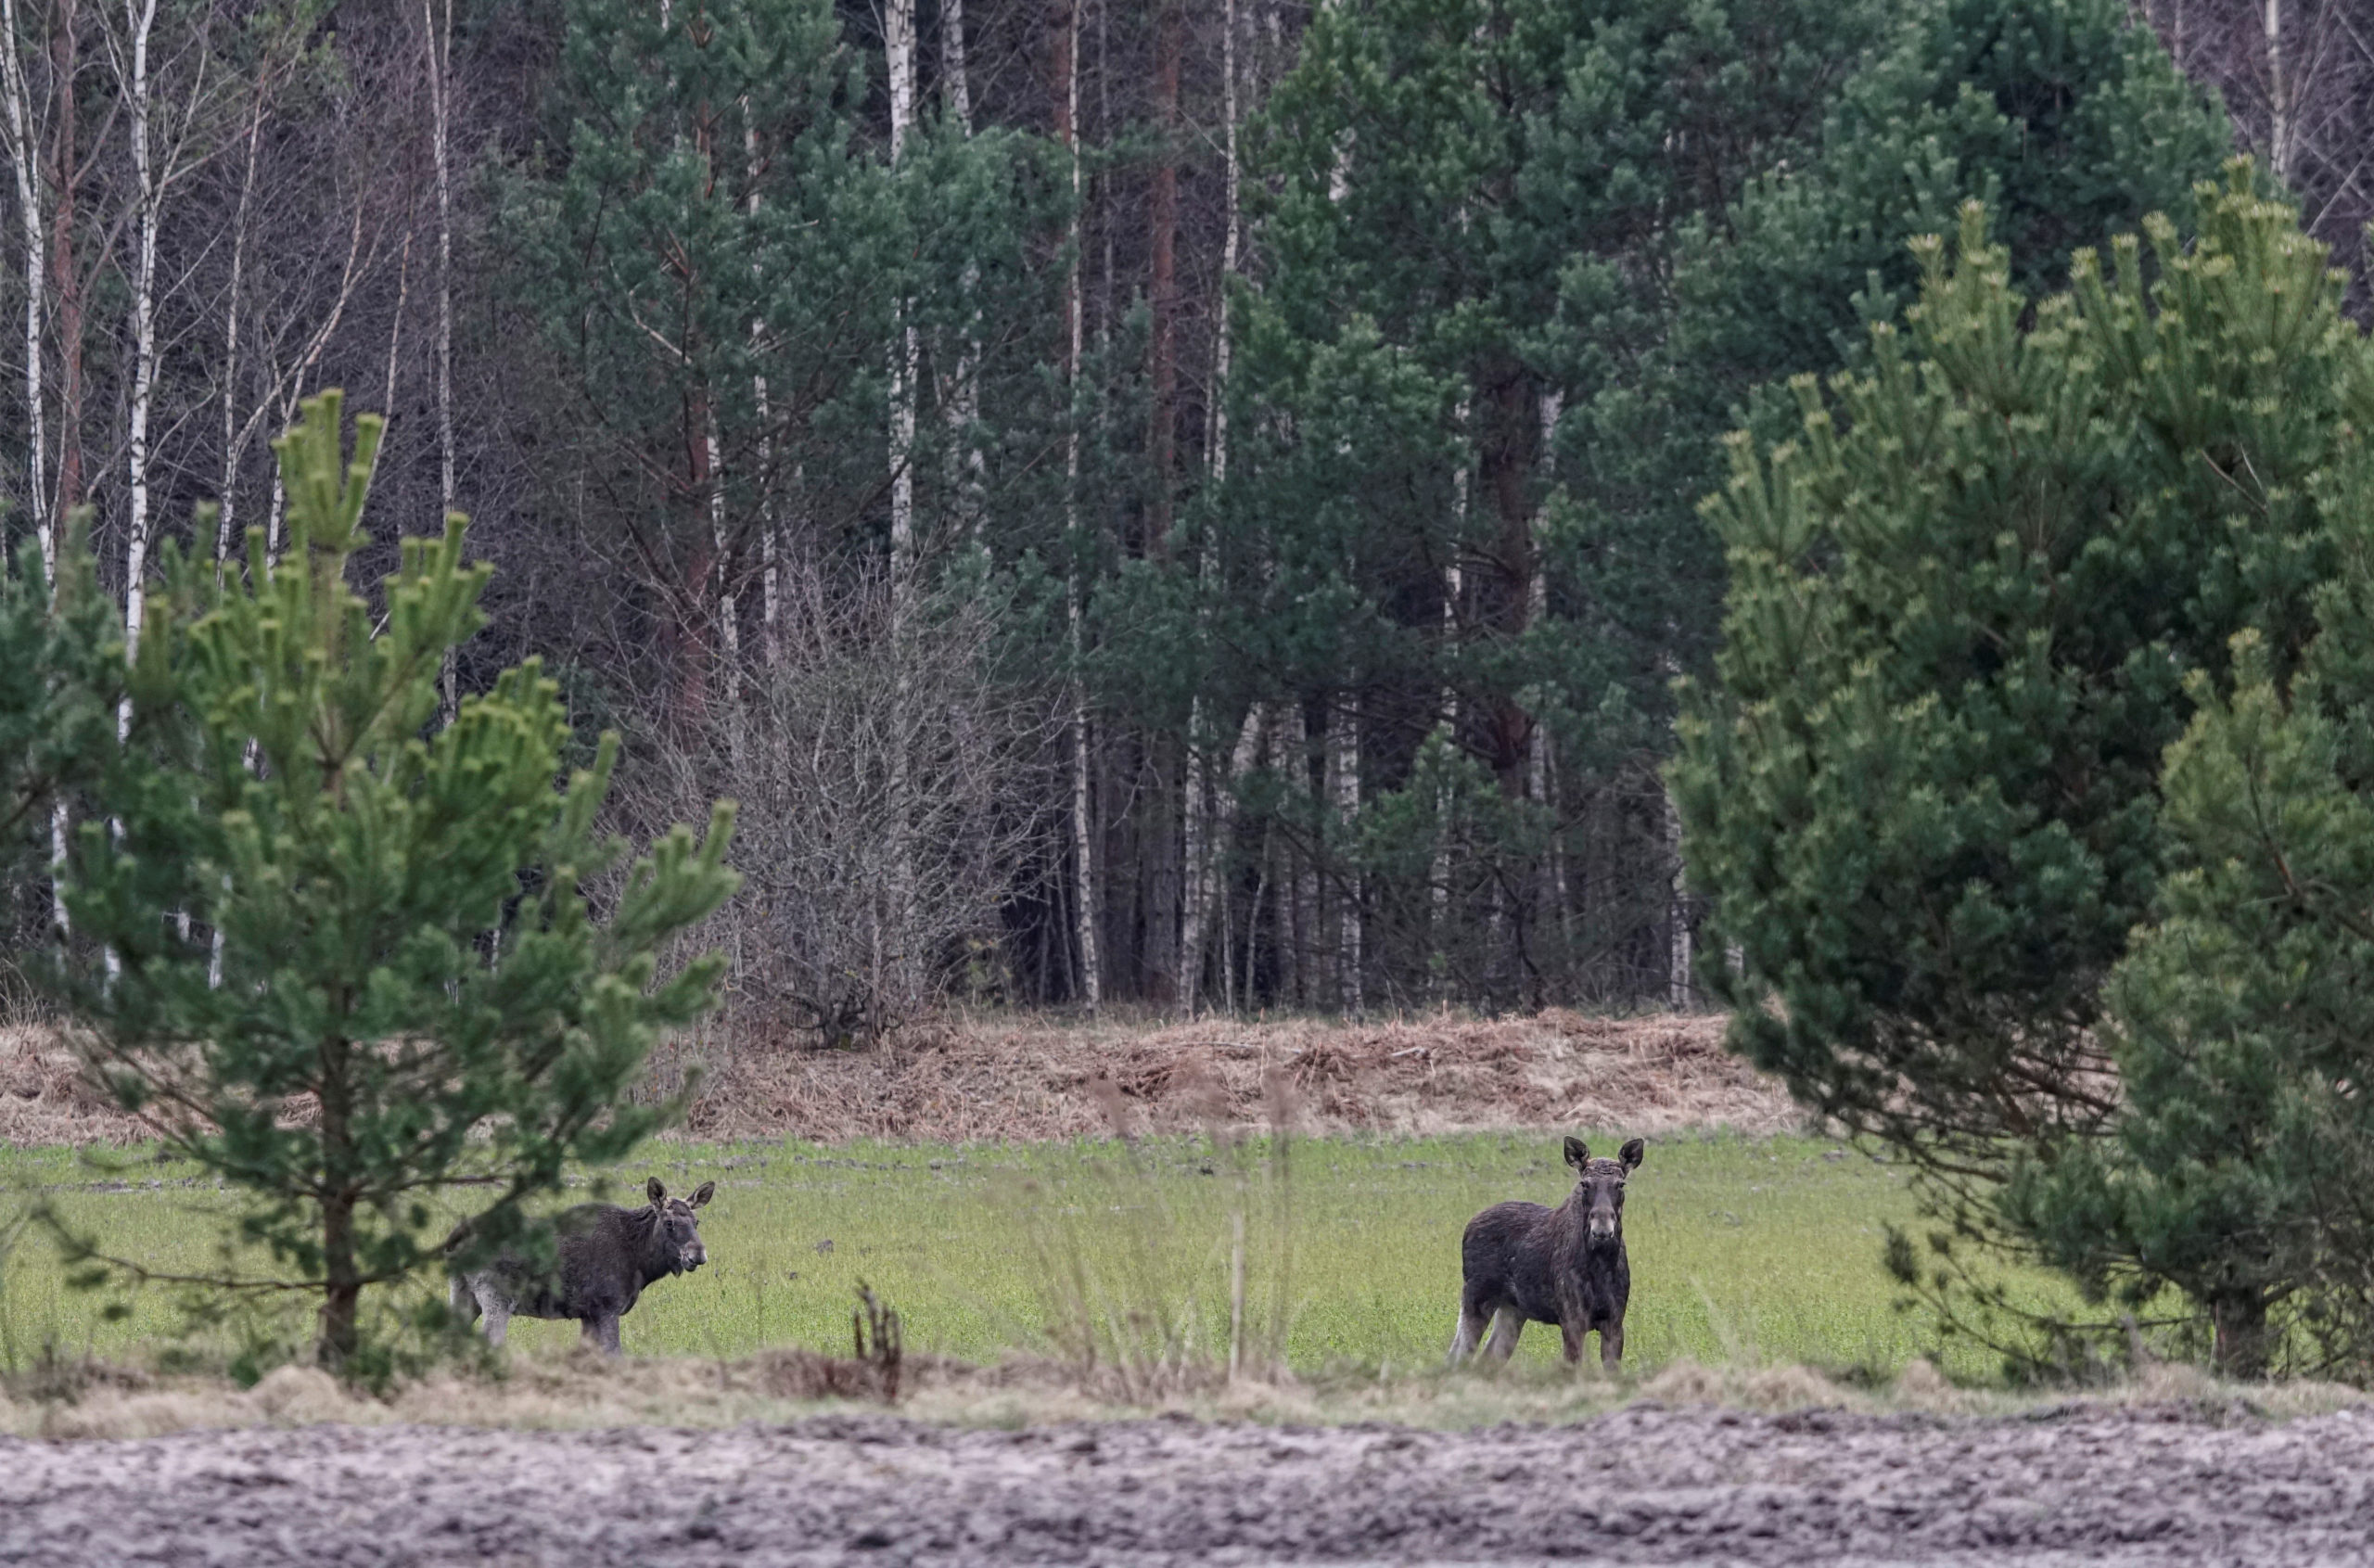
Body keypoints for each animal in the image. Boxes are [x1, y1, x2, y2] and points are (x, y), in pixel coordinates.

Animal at [448, 1177, 714, 1355]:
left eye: (697, 1221)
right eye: (669, 1223)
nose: (698, 1255)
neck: (640, 1260)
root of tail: (454, 1238)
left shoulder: (588, 1314)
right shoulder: (607, 1308)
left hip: (463, 1294)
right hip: (497, 1297)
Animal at [1449, 1136, 1643, 1371]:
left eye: (1621, 1184)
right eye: (1584, 1184)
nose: (1602, 1231)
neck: (1602, 1264)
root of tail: (1468, 1225)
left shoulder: (1614, 1323)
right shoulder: (1572, 1321)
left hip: (1512, 1309)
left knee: (1489, 1356)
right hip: (1476, 1296)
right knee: (1459, 1355)